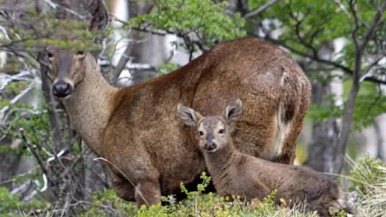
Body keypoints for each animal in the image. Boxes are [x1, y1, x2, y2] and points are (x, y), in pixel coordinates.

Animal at [46, 0, 310, 207]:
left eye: (81, 50)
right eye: (48, 53)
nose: (61, 87)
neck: (104, 126)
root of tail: (290, 77)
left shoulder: (144, 174)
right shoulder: (170, 192)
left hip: (242, 141)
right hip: (287, 147)